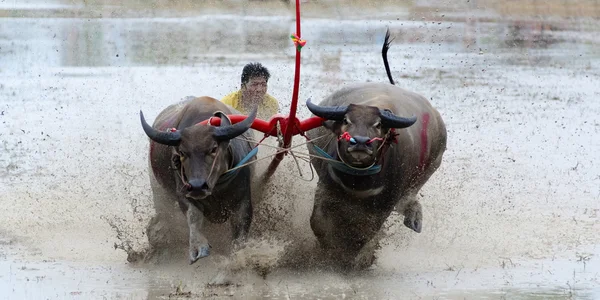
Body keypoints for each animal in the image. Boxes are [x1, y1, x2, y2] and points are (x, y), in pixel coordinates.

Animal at [142, 97, 256, 264]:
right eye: (182, 152)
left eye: (213, 149)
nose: (197, 187)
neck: (217, 188)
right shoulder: (183, 194)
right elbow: (193, 217)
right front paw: (198, 246)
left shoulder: (243, 199)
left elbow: (240, 231)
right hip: (159, 194)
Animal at [304, 29, 446, 270]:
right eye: (346, 121)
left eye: (378, 125)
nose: (360, 142)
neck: (357, 180)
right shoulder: (326, 188)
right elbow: (319, 223)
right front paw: (330, 251)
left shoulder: (383, 205)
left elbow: (365, 235)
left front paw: (353, 258)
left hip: (424, 174)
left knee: (408, 202)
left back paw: (414, 219)